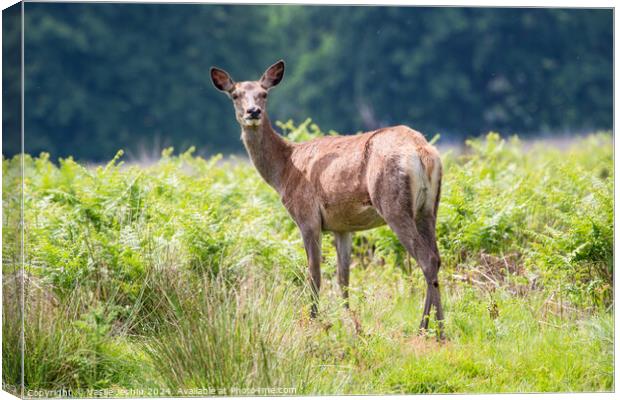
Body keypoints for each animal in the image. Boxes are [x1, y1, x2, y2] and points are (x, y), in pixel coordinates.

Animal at [213, 60, 446, 340]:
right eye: (235, 95)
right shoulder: (342, 226)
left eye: (264, 93)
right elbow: (343, 278)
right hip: (429, 207)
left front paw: (313, 321)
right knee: (436, 257)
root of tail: (423, 152)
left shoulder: (307, 217)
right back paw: (435, 327)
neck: (284, 171)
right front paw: (350, 321)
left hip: (393, 204)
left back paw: (430, 330)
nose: (253, 111)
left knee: (426, 258)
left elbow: (314, 273)